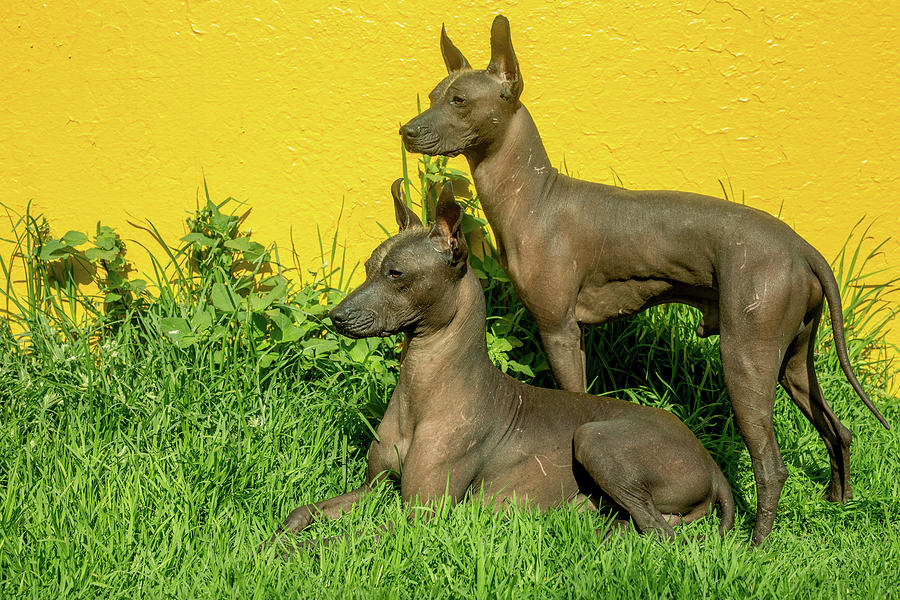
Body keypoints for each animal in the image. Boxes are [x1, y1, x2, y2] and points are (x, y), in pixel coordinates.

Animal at [260, 182, 732, 552]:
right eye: (368, 267)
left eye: (396, 274)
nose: (336, 316)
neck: (421, 391)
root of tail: (710, 462)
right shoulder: (373, 488)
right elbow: (302, 512)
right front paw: (268, 540)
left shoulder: (420, 516)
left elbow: (336, 540)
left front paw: (285, 553)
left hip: (595, 438)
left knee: (661, 532)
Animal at [402, 16, 892, 548]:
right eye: (434, 94)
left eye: (459, 101)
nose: (406, 130)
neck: (535, 198)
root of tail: (803, 248)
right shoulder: (574, 336)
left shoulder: (558, 330)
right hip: (793, 360)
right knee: (837, 429)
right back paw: (838, 505)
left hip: (747, 358)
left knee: (770, 464)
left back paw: (755, 545)